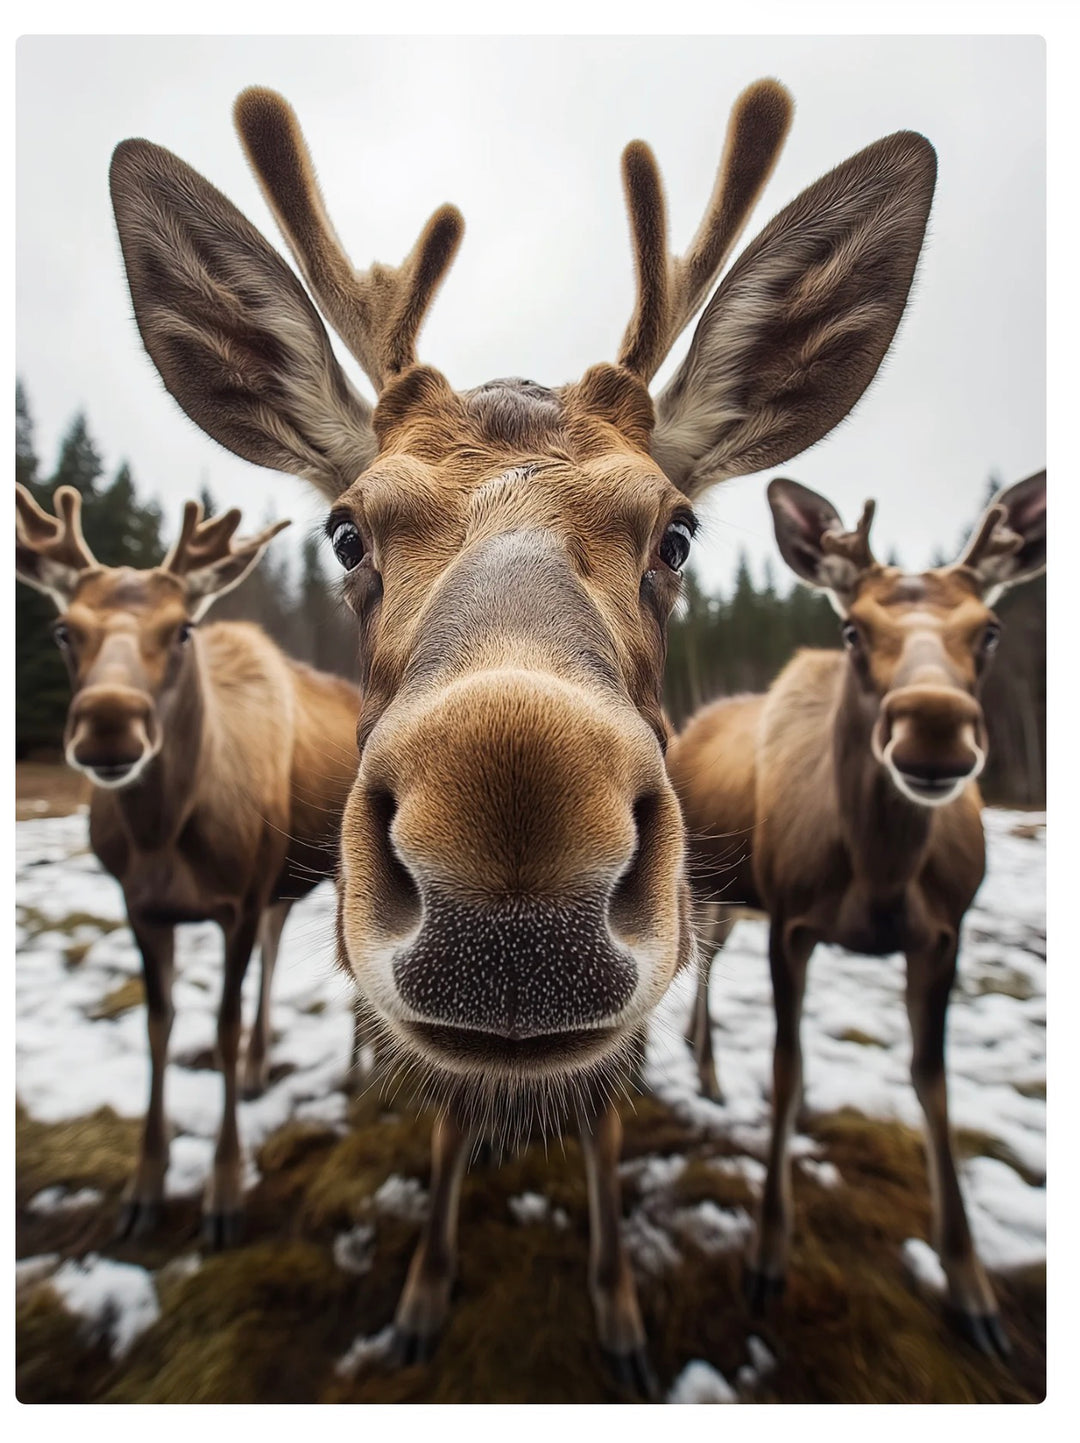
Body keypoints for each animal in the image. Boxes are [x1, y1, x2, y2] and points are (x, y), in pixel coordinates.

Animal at [15, 485, 361, 1247]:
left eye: (181, 630)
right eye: (63, 629)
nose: (109, 724)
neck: (162, 838)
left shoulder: (237, 901)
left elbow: (221, 1031)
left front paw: (224, 1194)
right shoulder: (140, 906)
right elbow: (158, 1027)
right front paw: (145, 1185)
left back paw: (359, 1066)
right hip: (282, 882)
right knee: (277, 947)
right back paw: (265, 1066)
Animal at [105, 77, 937, 1393]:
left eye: (676, 531)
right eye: (347, 531)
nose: (513, 874)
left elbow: (604, 1125)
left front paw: (623, 1316)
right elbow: (446, 1121)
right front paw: (420, 1297)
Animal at [667, 470, 1046, 1359]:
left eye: (989, 631)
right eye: (851, 627)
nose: (933, 730)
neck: (879, 873)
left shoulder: (945, 934)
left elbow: (931, 1079)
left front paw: (972, 1288)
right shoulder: (790, 920)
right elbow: (785, 1062)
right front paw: (767, 1257)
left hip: (733, 893)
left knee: (711, 958)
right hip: (708, 879)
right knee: (702, 962)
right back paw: (706, 1067)